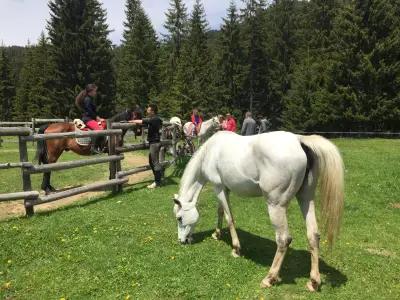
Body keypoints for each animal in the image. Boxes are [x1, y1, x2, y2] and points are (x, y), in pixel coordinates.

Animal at [172, 131, 344, 290]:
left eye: (179, 218)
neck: (210, 151)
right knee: (313, 235)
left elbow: (229, 218)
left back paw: (269, 278)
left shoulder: (218, 187)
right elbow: (220, 212)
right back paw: (314, 282)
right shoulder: (224, 189)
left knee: (283, 239)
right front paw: (217, 234)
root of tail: (299, 140)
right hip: (306, 199)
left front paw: (236, 249)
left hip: (276, 206)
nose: (182, 240)